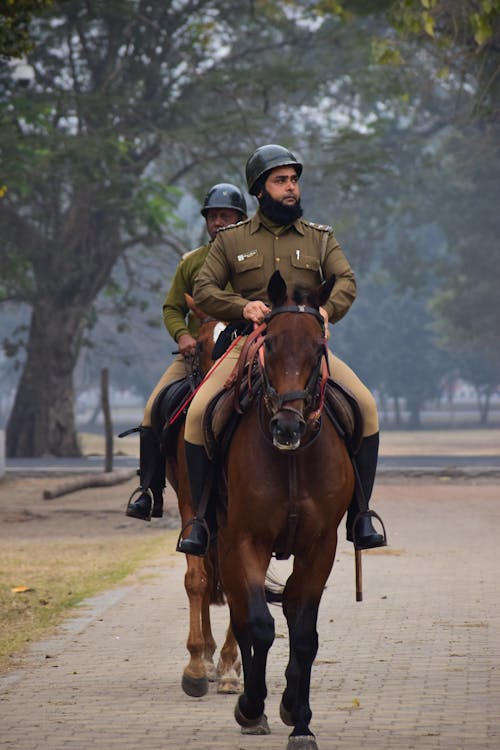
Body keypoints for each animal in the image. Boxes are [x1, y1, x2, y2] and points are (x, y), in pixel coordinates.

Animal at [217, 274, 354, 748]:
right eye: (269, 343)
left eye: (318, 346)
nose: (288, 426)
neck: (293, 458)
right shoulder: (245, 541)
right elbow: (259, 625)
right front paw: (250, 705)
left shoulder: (321, 546)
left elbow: (305, 634)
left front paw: (301, 721)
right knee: (243, 617)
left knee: (292, 612)